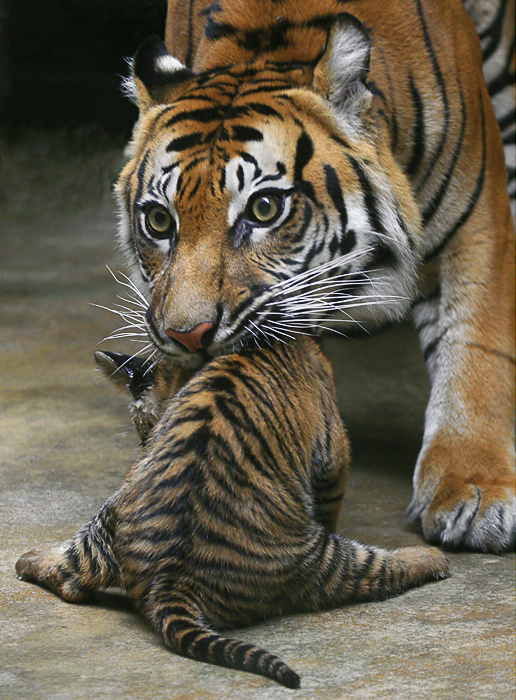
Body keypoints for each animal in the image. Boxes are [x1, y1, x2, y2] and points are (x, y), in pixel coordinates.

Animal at [16, 337, 449, 688]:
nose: (144, 444)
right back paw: (431, 557)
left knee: (72, 569)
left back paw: (27, 560)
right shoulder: (334, 449)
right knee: (374, 571)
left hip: (113, 510)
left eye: (145, 427)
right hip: (317, 560)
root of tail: (169, 579)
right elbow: (331, 499)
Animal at [115, 0, 515, 554]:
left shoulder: (475, 216)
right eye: (158, 221)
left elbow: (476, 347)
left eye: (263, 208)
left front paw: (475, 491)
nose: (188, 335)